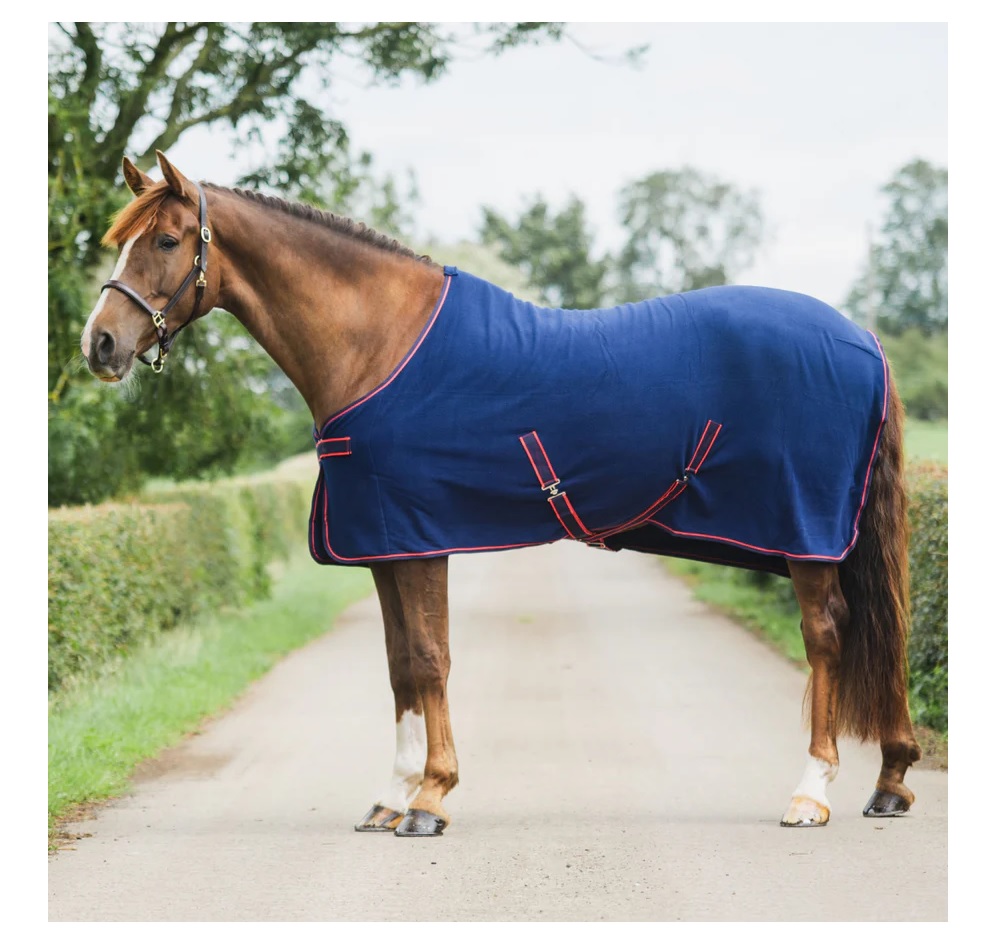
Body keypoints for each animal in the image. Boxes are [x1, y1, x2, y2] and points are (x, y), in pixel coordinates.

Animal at [80, 151, 922, 837]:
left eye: (166, 240)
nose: (101, 344)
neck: (379, 342)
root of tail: (863, 338)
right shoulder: (384, 545)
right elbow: (398, 665)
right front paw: (390, 797)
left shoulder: (418, 538)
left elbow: (428, 661)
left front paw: (429, 799)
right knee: (881, 627)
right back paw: (889, 783)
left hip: (806, 532)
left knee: (828, 635)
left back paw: (810, 793)